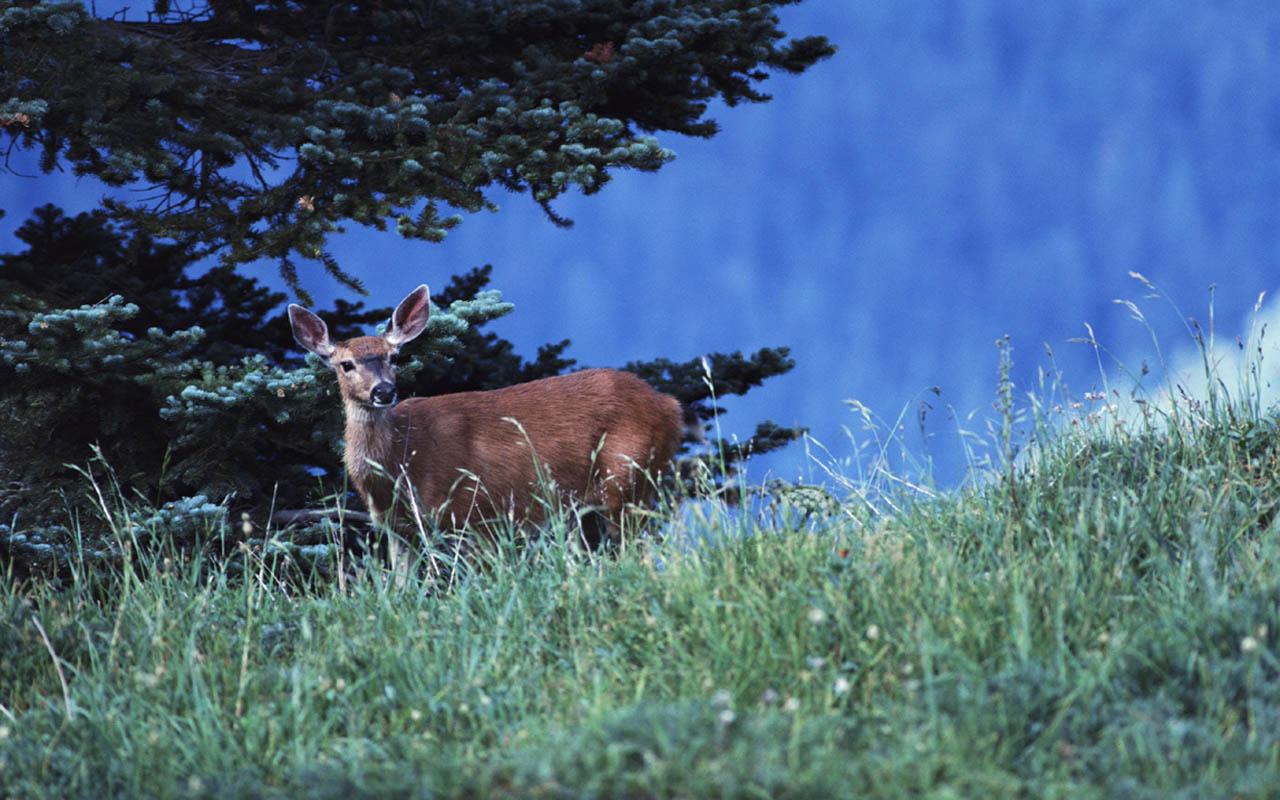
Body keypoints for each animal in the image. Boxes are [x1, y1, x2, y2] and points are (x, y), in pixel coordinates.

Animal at [285, 284, 686, 552]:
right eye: (346, 364)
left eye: (394, 357)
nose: (383, 391)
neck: (401, 460)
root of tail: (670, 405)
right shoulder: (397, 529)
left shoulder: (473, 512)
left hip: (626, 476)